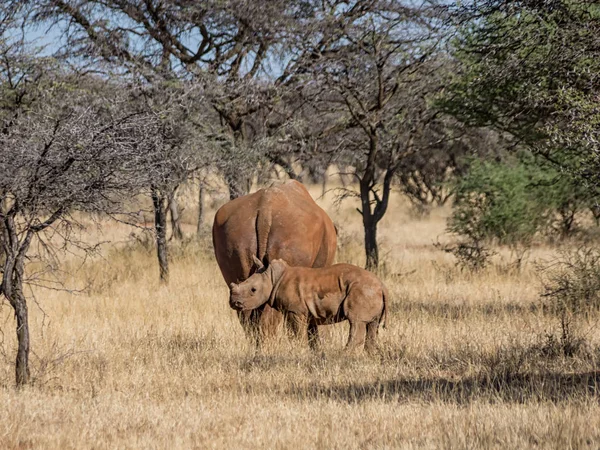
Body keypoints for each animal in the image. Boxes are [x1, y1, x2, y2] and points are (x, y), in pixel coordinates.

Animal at [227, 256, 386, 352]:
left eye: (253, 290)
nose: (234, 303)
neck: (273, 277)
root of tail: (382, 285)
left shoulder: (295, 311)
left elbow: (297, 331)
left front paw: (299, 349)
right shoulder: (301, 311)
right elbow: (307, 332)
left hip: (361, 289)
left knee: (356, 321)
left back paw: (344, 354)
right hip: (370, 291)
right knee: (372, 325)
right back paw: (368, 354)